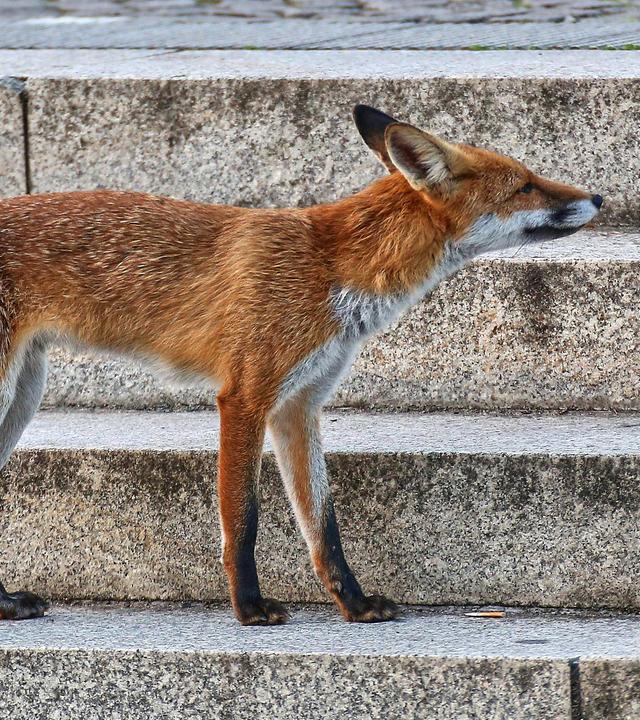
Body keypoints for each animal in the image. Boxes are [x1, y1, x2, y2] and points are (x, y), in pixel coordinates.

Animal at [0, 105, 601, 625]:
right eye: (524, 185)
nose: (597, 196)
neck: (329, 267)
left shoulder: (299, 404)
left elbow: (322, 524)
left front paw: (354, 604)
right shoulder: (245, 396)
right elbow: (243, 521)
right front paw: (248, 608)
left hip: (24, 396)